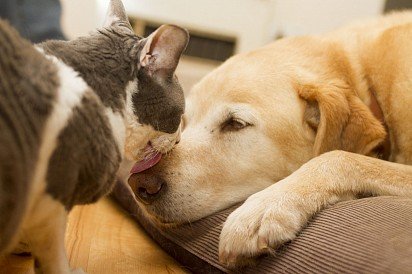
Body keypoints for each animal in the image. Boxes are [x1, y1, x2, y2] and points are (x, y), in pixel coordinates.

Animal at [129, 11, 412, 268]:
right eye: (184, 122)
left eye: (236, 123)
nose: (138, 184)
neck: (366, 75)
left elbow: (338, 157)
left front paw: (267, 206)